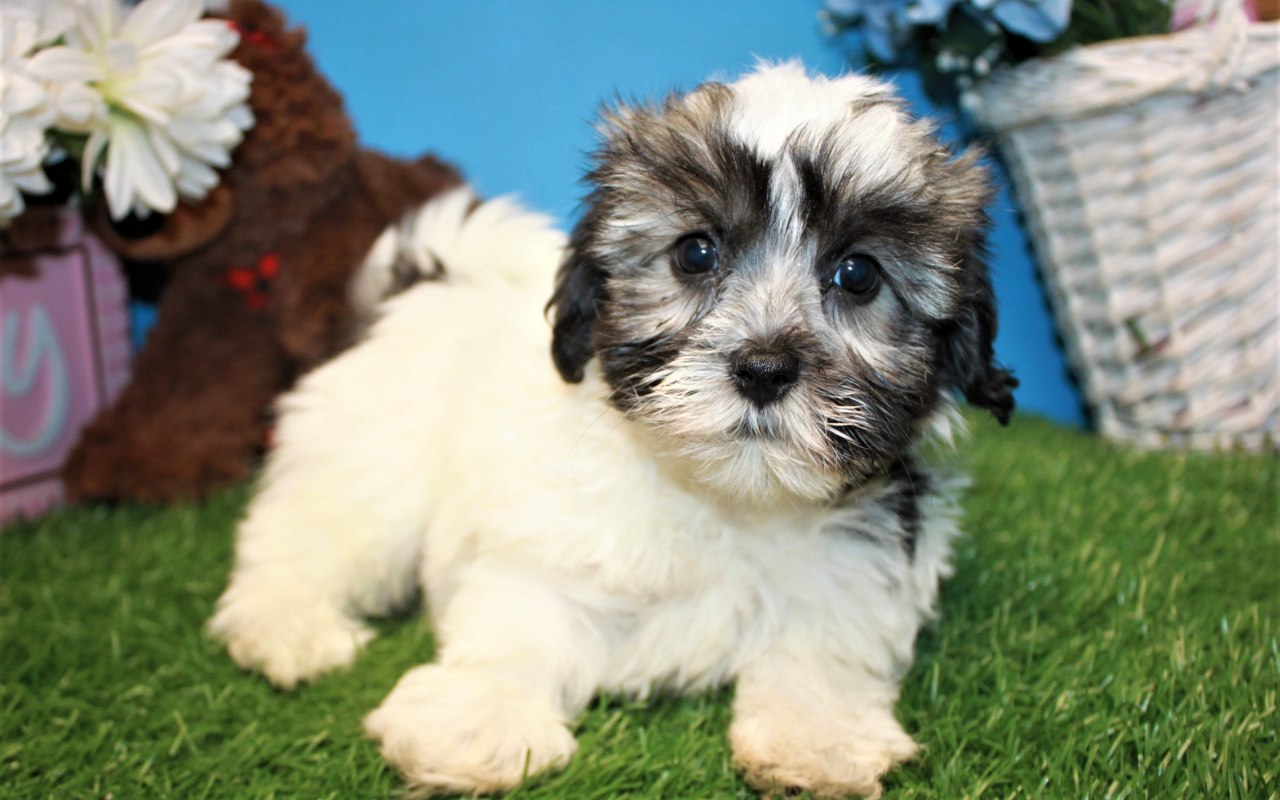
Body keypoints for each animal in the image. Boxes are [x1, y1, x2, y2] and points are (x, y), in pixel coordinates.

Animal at [209, 64, 1013, 798]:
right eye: (695, 252)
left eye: (858, 274)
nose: (763, 368)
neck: (728, 501)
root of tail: (423, 289)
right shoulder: (547, 547)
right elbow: (518, 626)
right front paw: (477, 719)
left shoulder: (859, 571)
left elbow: (824, 655)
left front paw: (817, 740)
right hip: (374, 459)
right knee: (304, 536)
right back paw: (287, 629)